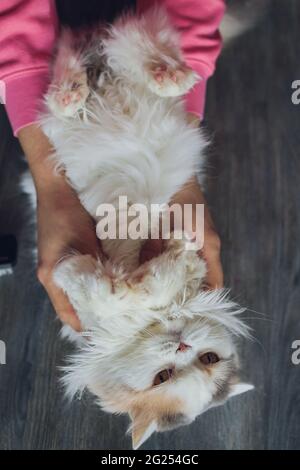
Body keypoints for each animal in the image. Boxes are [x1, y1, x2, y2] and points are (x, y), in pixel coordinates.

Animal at [41, 6, 253, 448]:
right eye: (163, 376)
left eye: (208, 359)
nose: (180, 343)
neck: (151, 325)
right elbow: (109, 292)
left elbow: (148, 283)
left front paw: (164, 261)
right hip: (119, 74)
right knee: (108, 53)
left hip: (119, 62)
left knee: (99, 44)